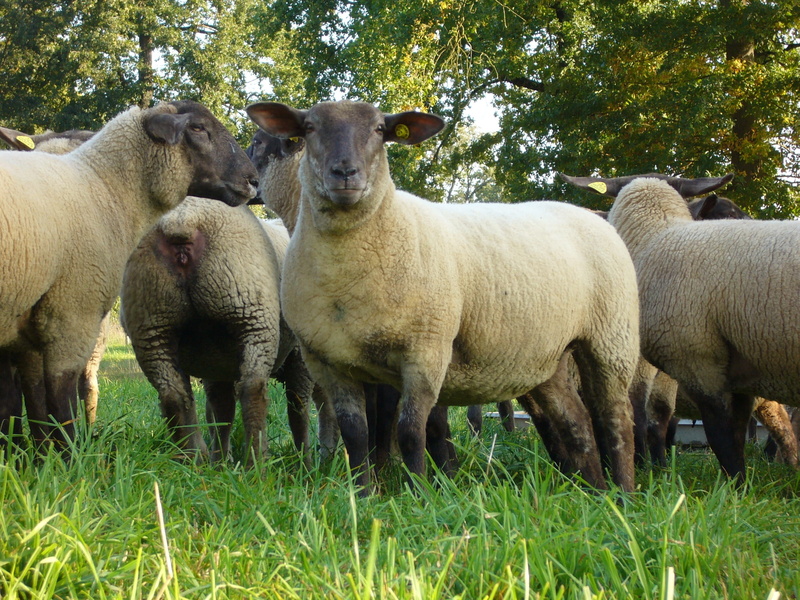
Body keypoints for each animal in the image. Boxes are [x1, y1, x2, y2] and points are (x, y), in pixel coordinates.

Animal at [0, 100, 258, 453]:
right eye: (197, 128)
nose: (253, 179)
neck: (104, 188)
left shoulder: (26, 323)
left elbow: (31, 402)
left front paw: (34, 456)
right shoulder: (70, 312)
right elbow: (59, 399)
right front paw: (67, 457)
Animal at [246, 100, 640, 493]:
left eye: (379, 129)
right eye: (310, 127)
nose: (345, 172)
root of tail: (590, 215)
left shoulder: (426, 350)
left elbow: (411, 431)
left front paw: (420, 492)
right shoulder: (327, 361)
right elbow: (356, 434)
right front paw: (364, 493)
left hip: (611, 338)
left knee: (615, 418)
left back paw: (623, 493)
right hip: (545, 356)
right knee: (576, 422)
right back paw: (592, 490)